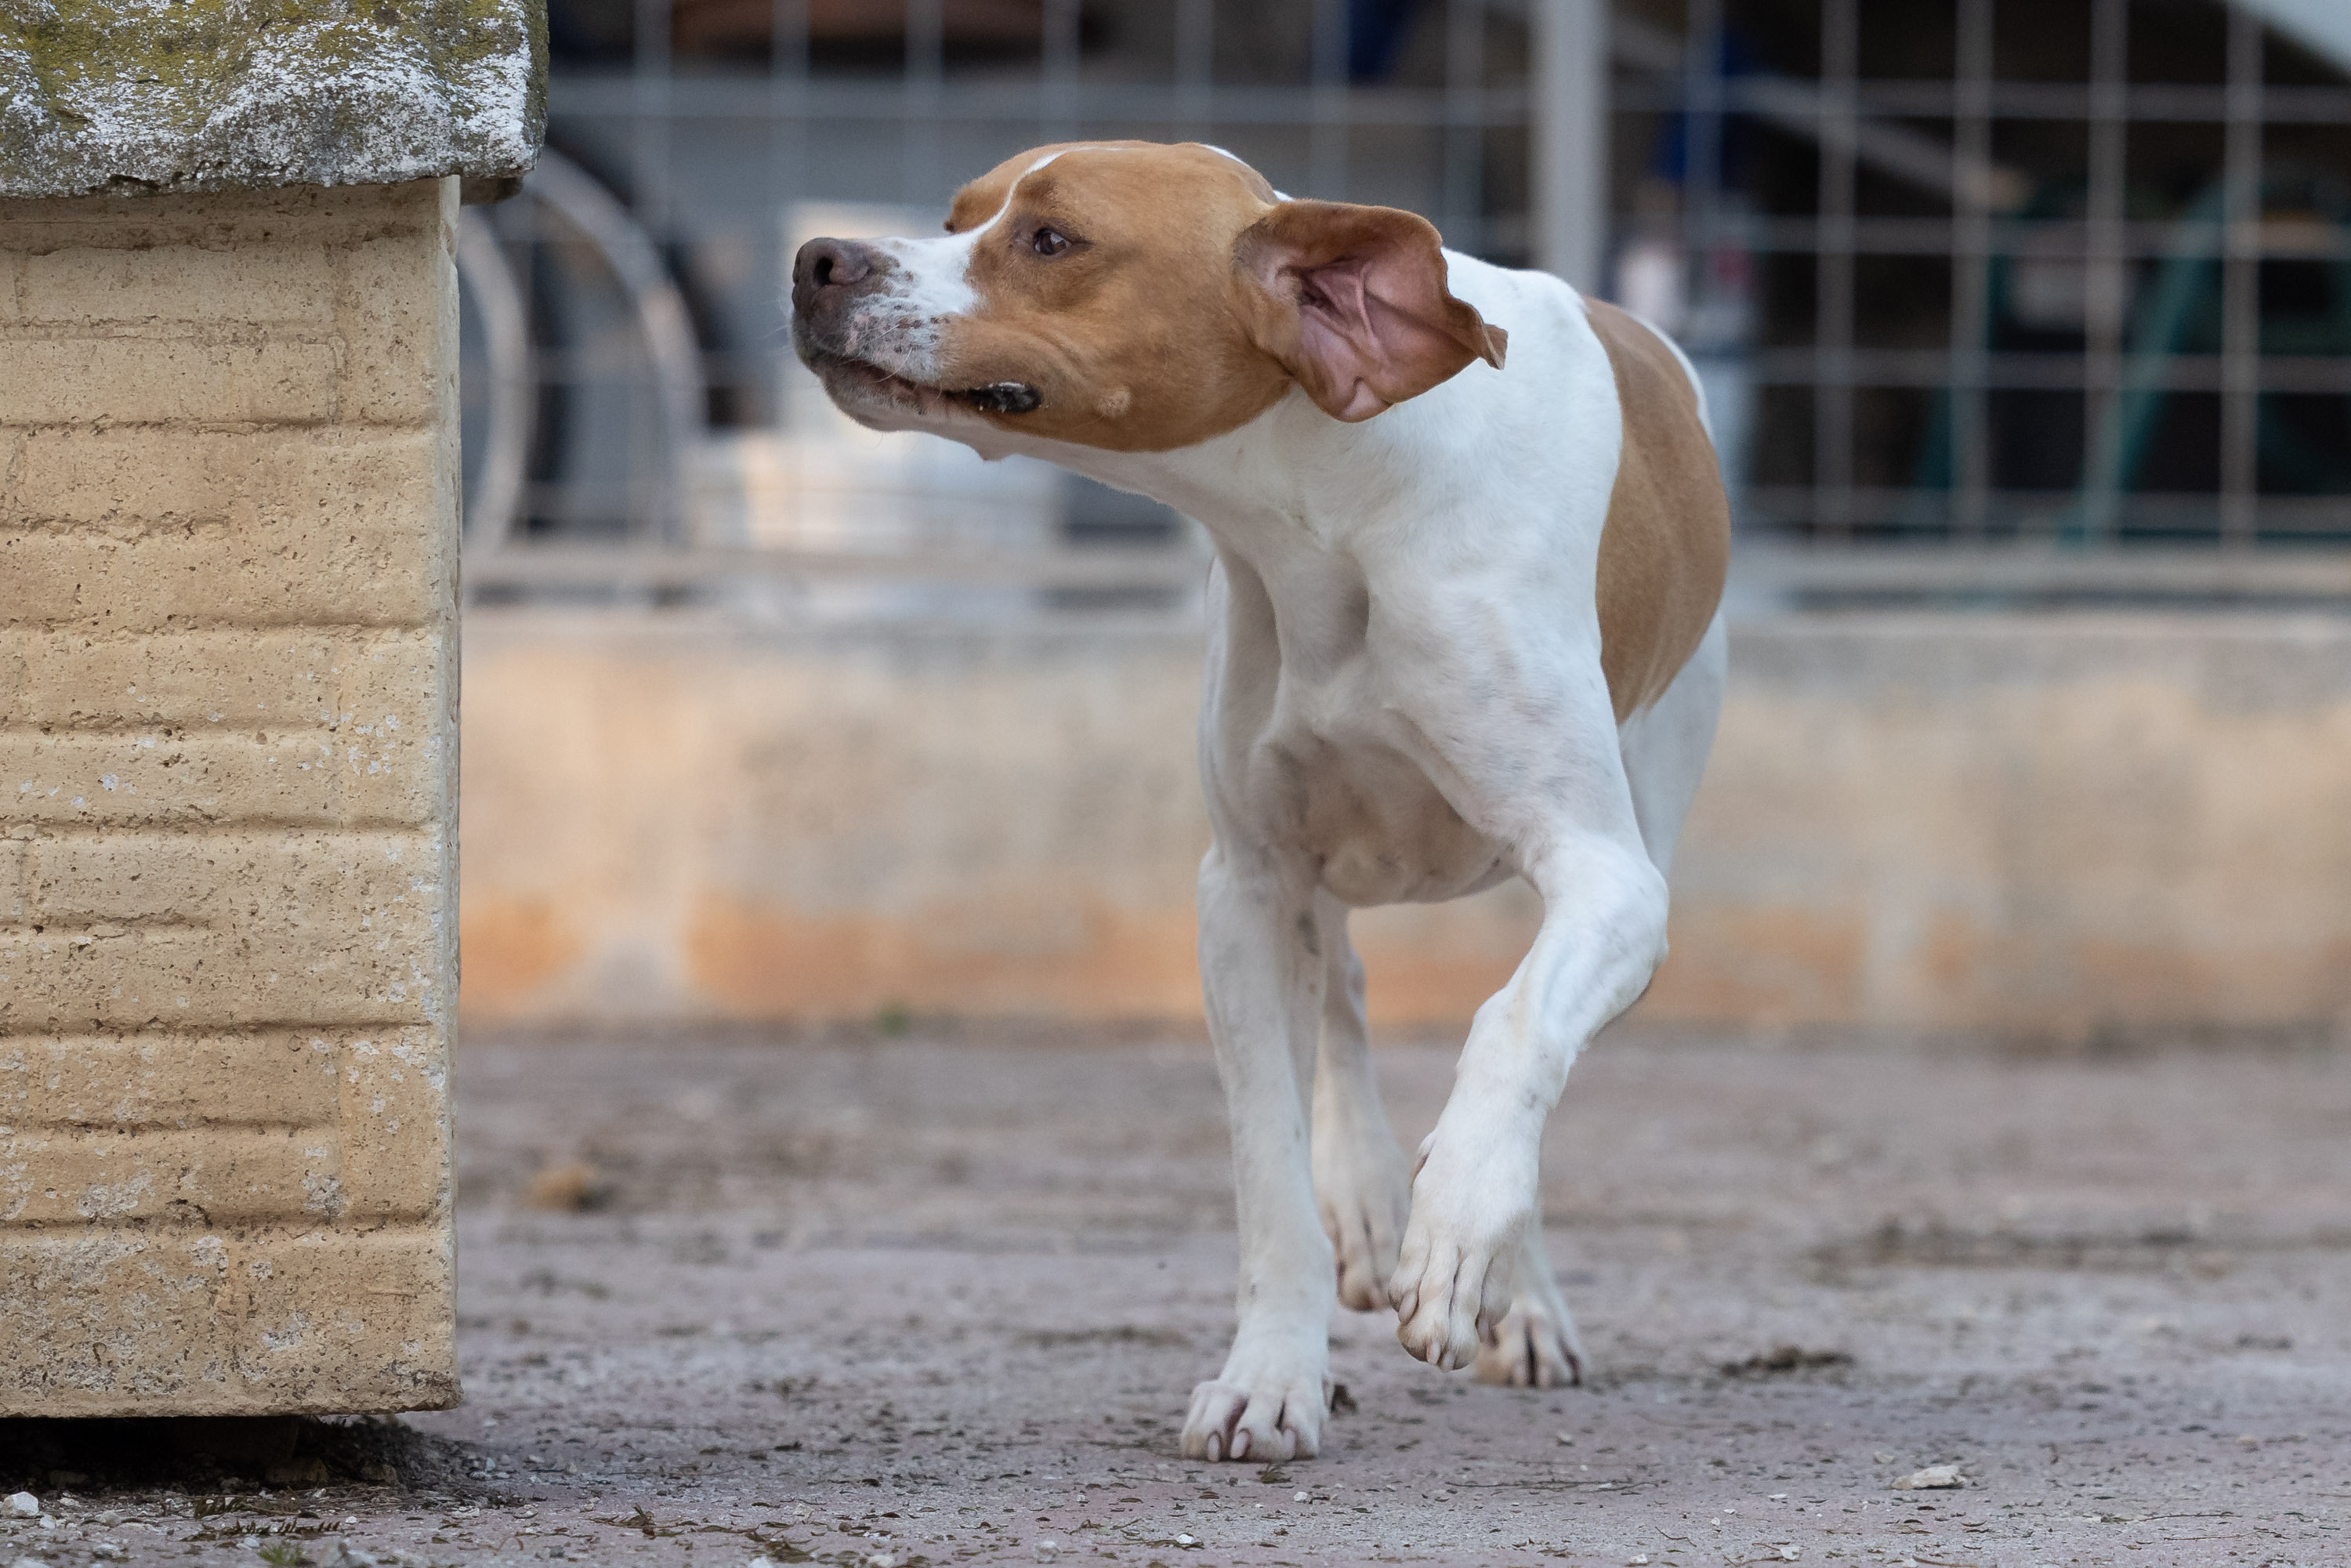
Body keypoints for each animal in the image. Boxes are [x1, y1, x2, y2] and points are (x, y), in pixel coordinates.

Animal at [791, 141, 1729, 1462]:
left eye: (1051, 240)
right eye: (954, 216)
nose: (817, 259)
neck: (1333, 518)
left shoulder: (1608, 876)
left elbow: (1512, 1030)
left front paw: (1459, 1228)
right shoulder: (1243, 886)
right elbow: (1269, 1167)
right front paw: (1275, 1372)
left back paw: (1516, 1288)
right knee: (1341, 988)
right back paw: (1373, 1193)